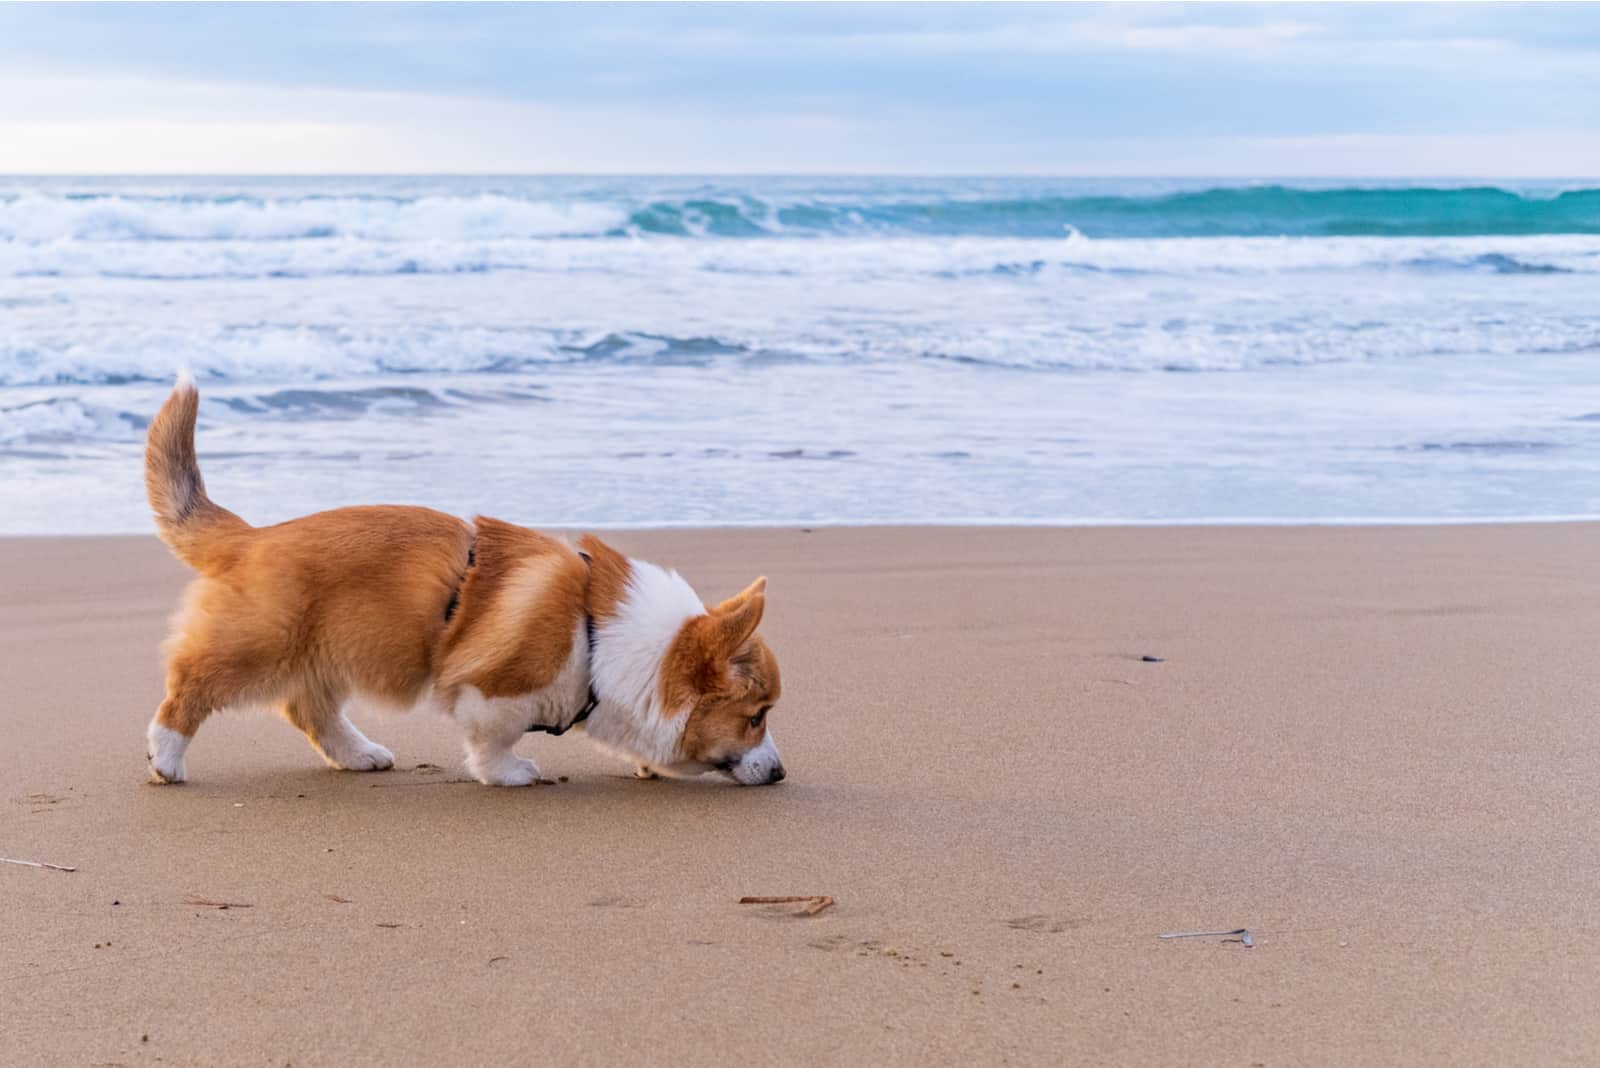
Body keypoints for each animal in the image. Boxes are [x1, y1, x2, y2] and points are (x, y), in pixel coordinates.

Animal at [144, 375, 780, 783]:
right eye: (756, 717)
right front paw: (511, 773)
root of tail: (249, 535)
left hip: (329, 654)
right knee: (189, 688)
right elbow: (494, 740)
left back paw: (360, 755)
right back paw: (167, 759)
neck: (604, 641)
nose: (779, 773)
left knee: (310, 712)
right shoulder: (494, 692)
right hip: (258, 649)